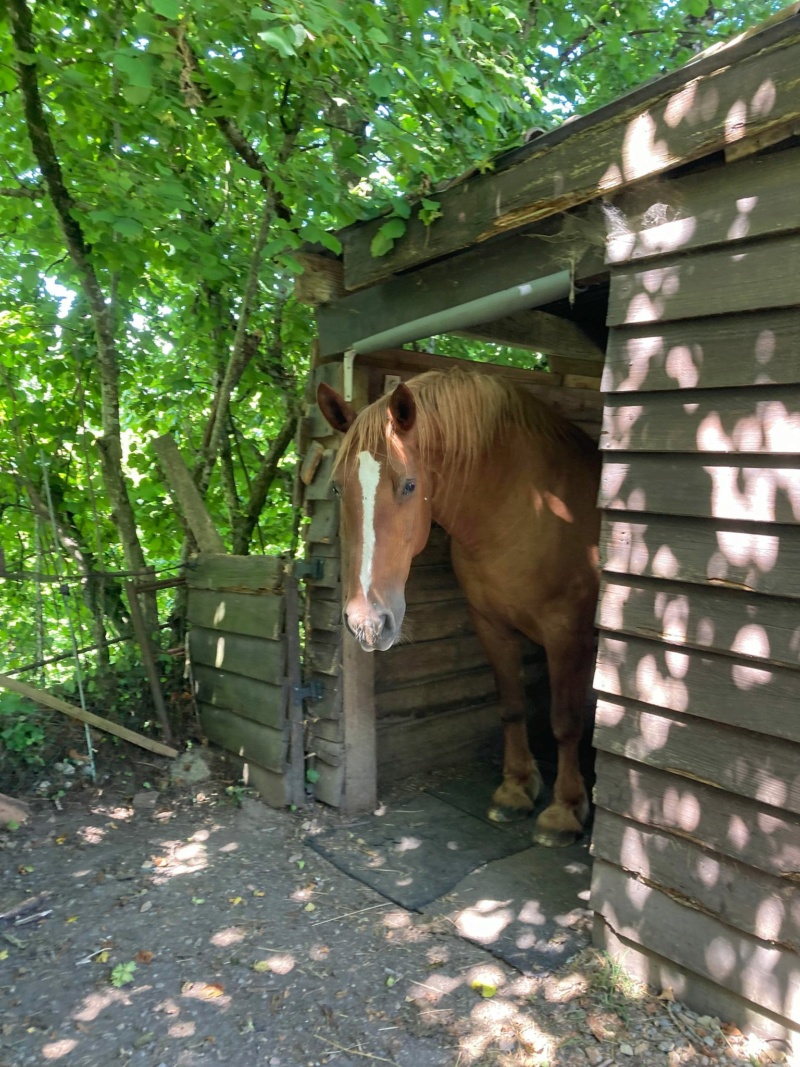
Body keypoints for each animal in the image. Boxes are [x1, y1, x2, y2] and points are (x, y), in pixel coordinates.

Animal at [317, 371, 601, 845]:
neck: (525, 509)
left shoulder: (568, 634)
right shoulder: (489, 623)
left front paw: (563, 811)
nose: (367, 622)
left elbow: (566, 721)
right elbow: (511, 705)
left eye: (409, 485)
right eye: (338, 486)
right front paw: (515, 790)